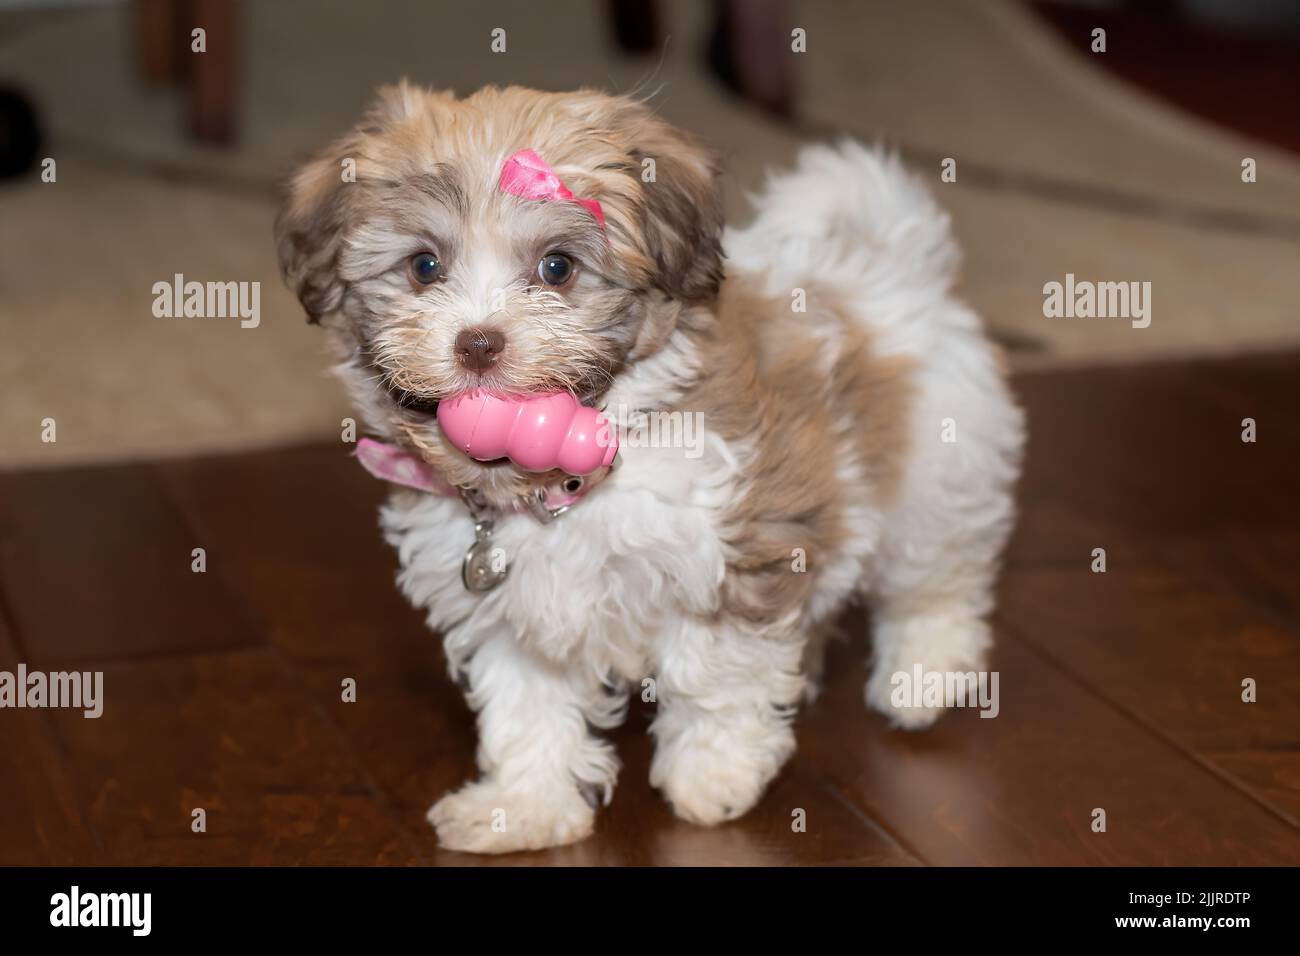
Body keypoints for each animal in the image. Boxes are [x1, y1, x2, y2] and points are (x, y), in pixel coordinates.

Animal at [274, 82, 1024, 858]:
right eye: (424, 266)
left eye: (558, 267)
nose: (478, 342)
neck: (565, 484)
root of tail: (894, 255)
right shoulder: (509, 611)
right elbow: (526, 705)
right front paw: (525, 805)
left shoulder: (730, 552)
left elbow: (712, 675)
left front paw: (713, 776)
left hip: (939, 473)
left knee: (937, 582)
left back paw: (924, 678)